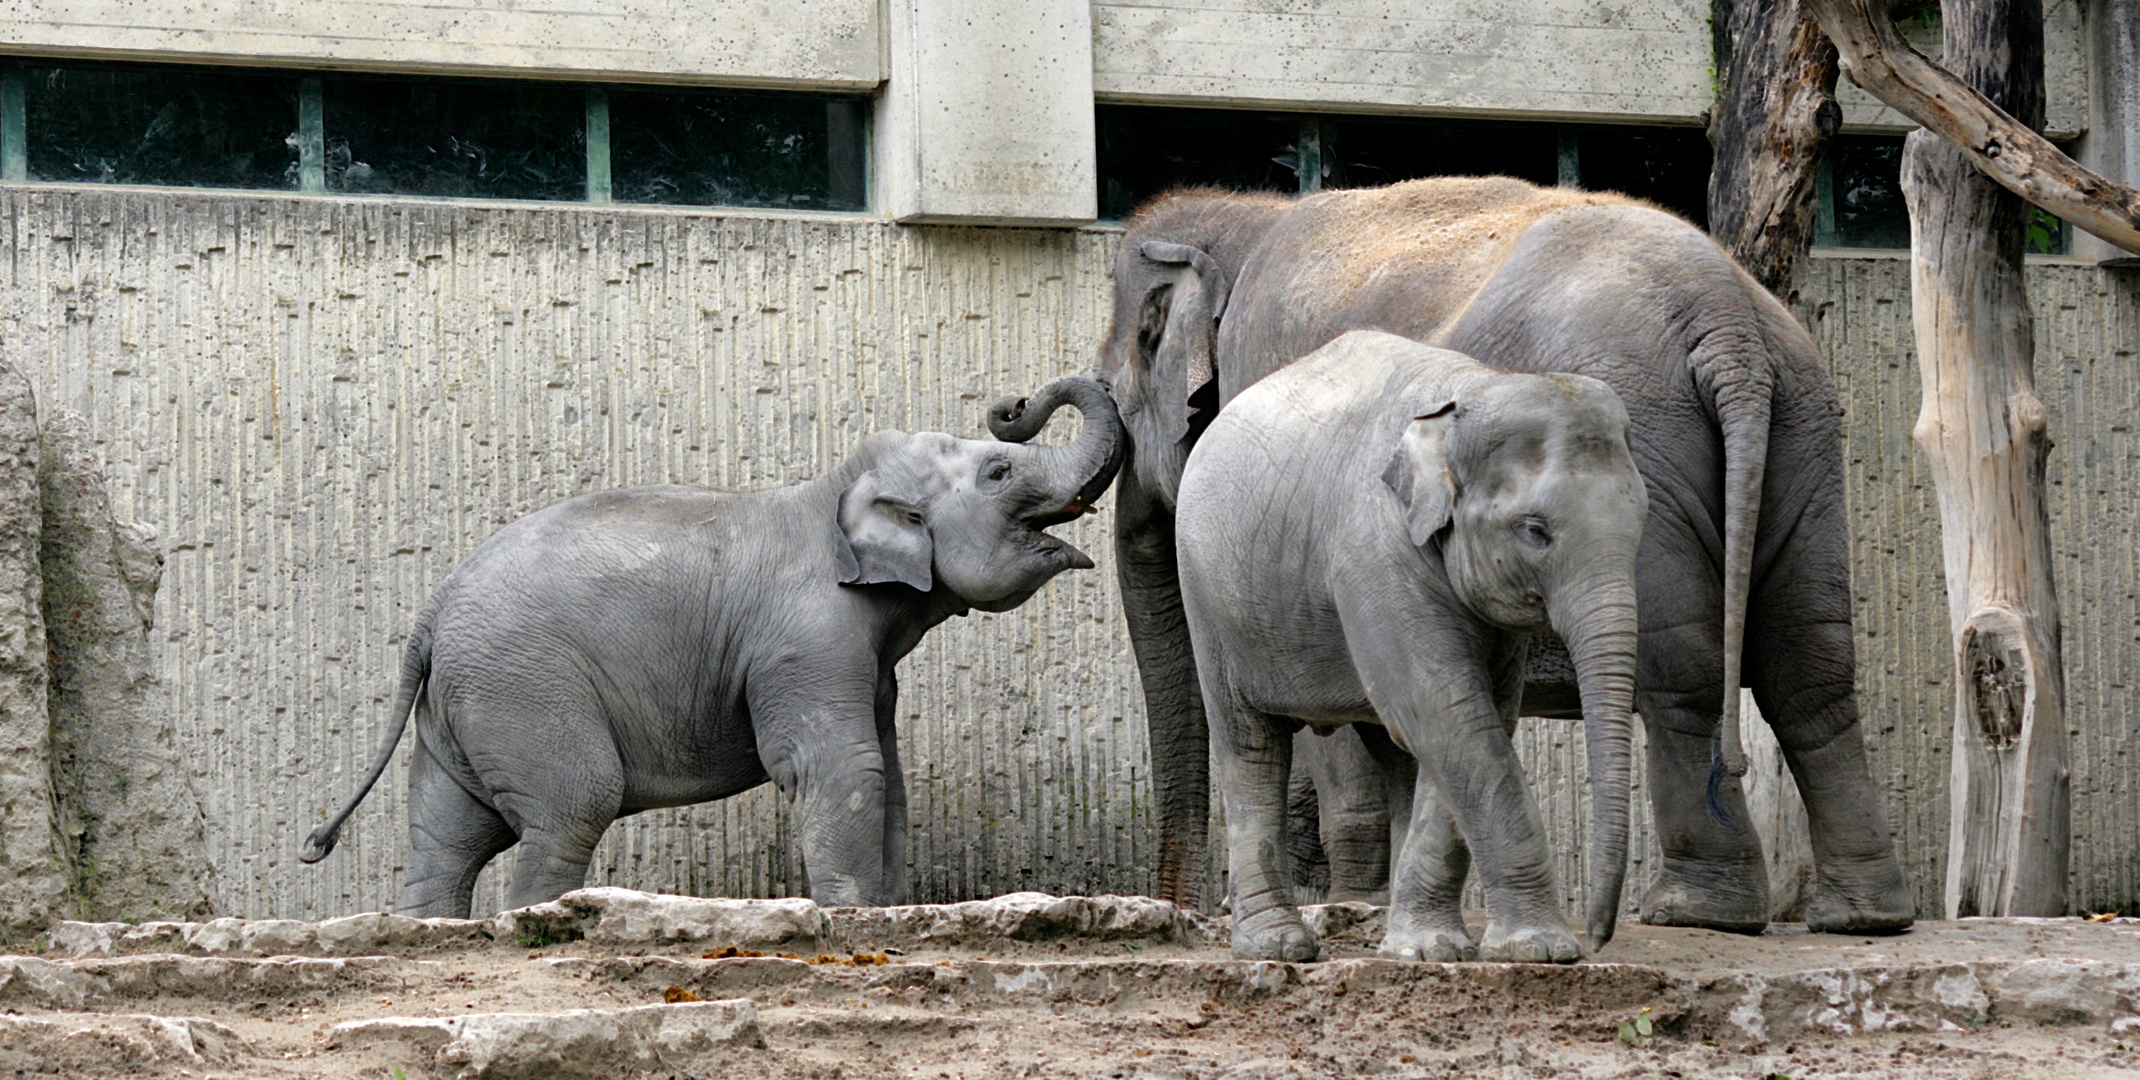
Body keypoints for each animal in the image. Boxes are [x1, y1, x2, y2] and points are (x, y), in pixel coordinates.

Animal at [299, 374, 1121, 915]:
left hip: (460, 706)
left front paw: (888, 912)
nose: (1013, 404)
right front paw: (852, 917)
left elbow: (884, 771)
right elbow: (836, 765)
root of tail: (431, 611)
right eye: (1000, 470)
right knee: (569, 807)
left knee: (445, 837)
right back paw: (533, 919)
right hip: (522, 686)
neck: (830, 491)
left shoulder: (863, 661)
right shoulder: (807, 638)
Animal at [1181, 329, 1643, 958]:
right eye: (1535, 531)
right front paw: (1537, 950)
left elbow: (1475, 717)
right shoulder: (1376, 549)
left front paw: (1431, 951)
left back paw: (1381, 928)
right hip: (1210, 599)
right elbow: (1447, 711)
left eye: (1642, 522)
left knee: (1395, 751)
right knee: (1250, 744)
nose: (1597, 939)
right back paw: (1277, 946)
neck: (1476, 388)